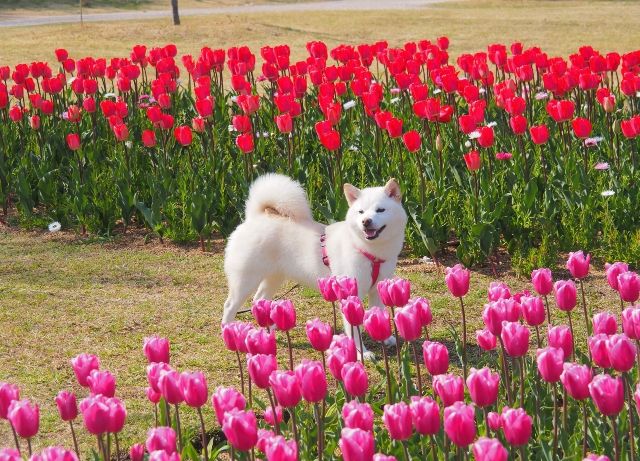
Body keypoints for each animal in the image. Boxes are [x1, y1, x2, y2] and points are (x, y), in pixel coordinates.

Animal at [222, 172, 408, 356]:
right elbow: (354, 329)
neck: (370, 253)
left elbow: (379, 313)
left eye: (380, 210)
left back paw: (269, 329)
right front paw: (361, 352)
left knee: (259, 299)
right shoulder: (350, 296)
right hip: (246, 279)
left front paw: (385, 337)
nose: (366, 221)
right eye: (360, 212)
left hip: (274, 277)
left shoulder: (377, 290)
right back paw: (229, 332)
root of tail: (256, 217)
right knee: (230, 305)